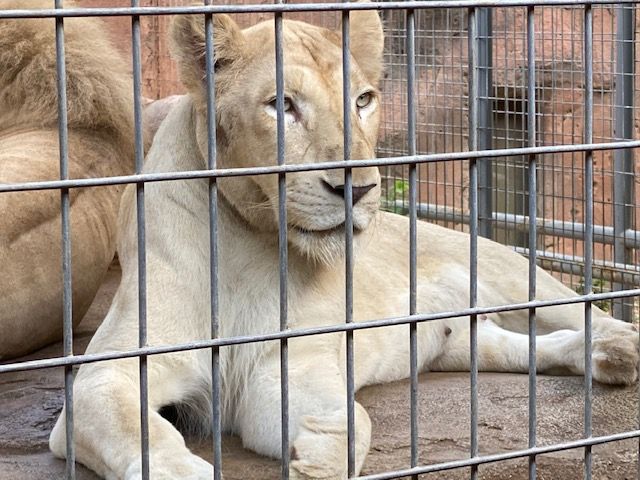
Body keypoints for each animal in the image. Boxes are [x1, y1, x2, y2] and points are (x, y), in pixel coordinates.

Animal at [51, 7, 640, 480]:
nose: (357, 188)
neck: (246, 240)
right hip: (462, 343)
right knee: (526, 346)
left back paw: (621, 346)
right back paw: (602, 358)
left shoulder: (293, 360)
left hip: (506, 270)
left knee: (579, 308)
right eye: (282, 105)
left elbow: (350, 419)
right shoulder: (105, 377)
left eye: (363, 100)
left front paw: (319, 461)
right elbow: (142, 429)